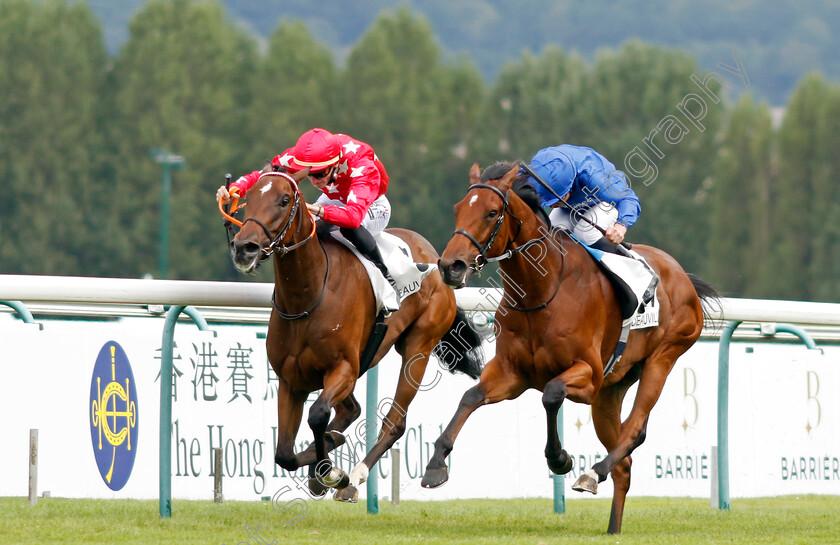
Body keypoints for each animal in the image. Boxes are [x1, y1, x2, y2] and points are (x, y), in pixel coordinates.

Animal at [226, 168, 482, 500]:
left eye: (284, 200)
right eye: (250, 197)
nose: (244, 247)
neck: (308, 295)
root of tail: (437, 257)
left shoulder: (344, 368)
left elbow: (318, 414)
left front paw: (330, 471)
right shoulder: (290, 380)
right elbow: (284, 453)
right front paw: (323, 460)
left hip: (418, 345)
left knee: (394, 421)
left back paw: (357, 475)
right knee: (351, 410)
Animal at [420, 162, 716, 532]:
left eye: (491, 212)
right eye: (458, 208)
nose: (450, 266)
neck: (541, 290)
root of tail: (683, 276)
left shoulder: (588, 377)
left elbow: (551, 393)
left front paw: (560, 458)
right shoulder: (512, 373)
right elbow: (470, 397)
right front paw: (436, 464)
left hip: (662, 358)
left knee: (635, 431)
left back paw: (592, 473)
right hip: (611, 390)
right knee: (625, 464)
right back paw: (612, 528)